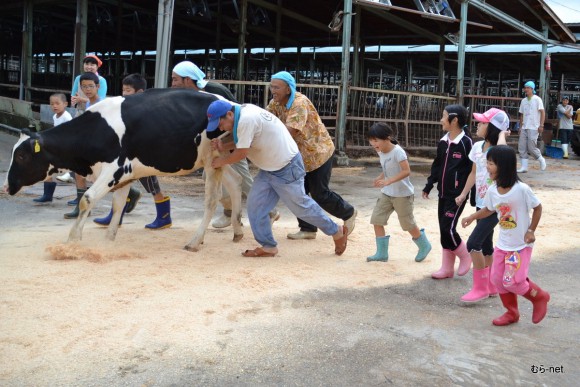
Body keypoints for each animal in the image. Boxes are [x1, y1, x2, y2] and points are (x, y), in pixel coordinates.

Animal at [3, 87, 242, 252]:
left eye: (22, 156)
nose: (6, 186)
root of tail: (229, 101)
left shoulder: (115, 169)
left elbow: (87, 199)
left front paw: (73, 240)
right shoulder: (125, 174)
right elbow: (118, 205)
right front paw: (108, 241)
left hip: (212, 160)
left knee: (212, 199)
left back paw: (195, 241)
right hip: (220, 160)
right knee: (236, 184)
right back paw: (238, 230)